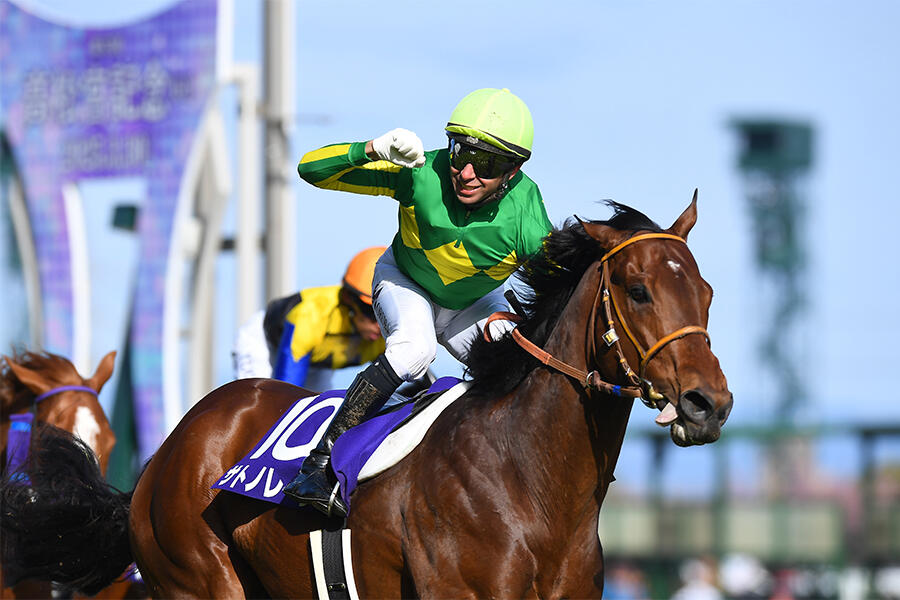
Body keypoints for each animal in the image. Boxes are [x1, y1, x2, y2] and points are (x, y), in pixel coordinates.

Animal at [1, 195, 732, 599]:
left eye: (705, 291)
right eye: (638, 290)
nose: (709, 403)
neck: (530, 481)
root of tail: (166, 451)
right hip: (198, 579)